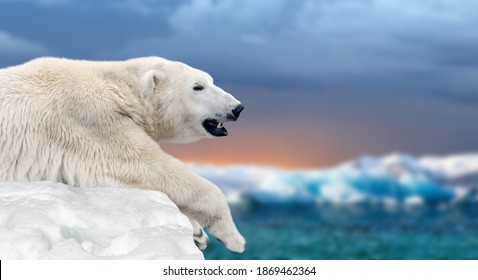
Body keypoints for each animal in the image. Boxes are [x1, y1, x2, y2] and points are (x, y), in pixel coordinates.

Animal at [0, 56, 246, 252]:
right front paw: (233, 237)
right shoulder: (89, 120)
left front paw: (198, 233)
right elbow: (145, 165)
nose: (237, 107)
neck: (115, 88)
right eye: (198, 87)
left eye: (211, 80)